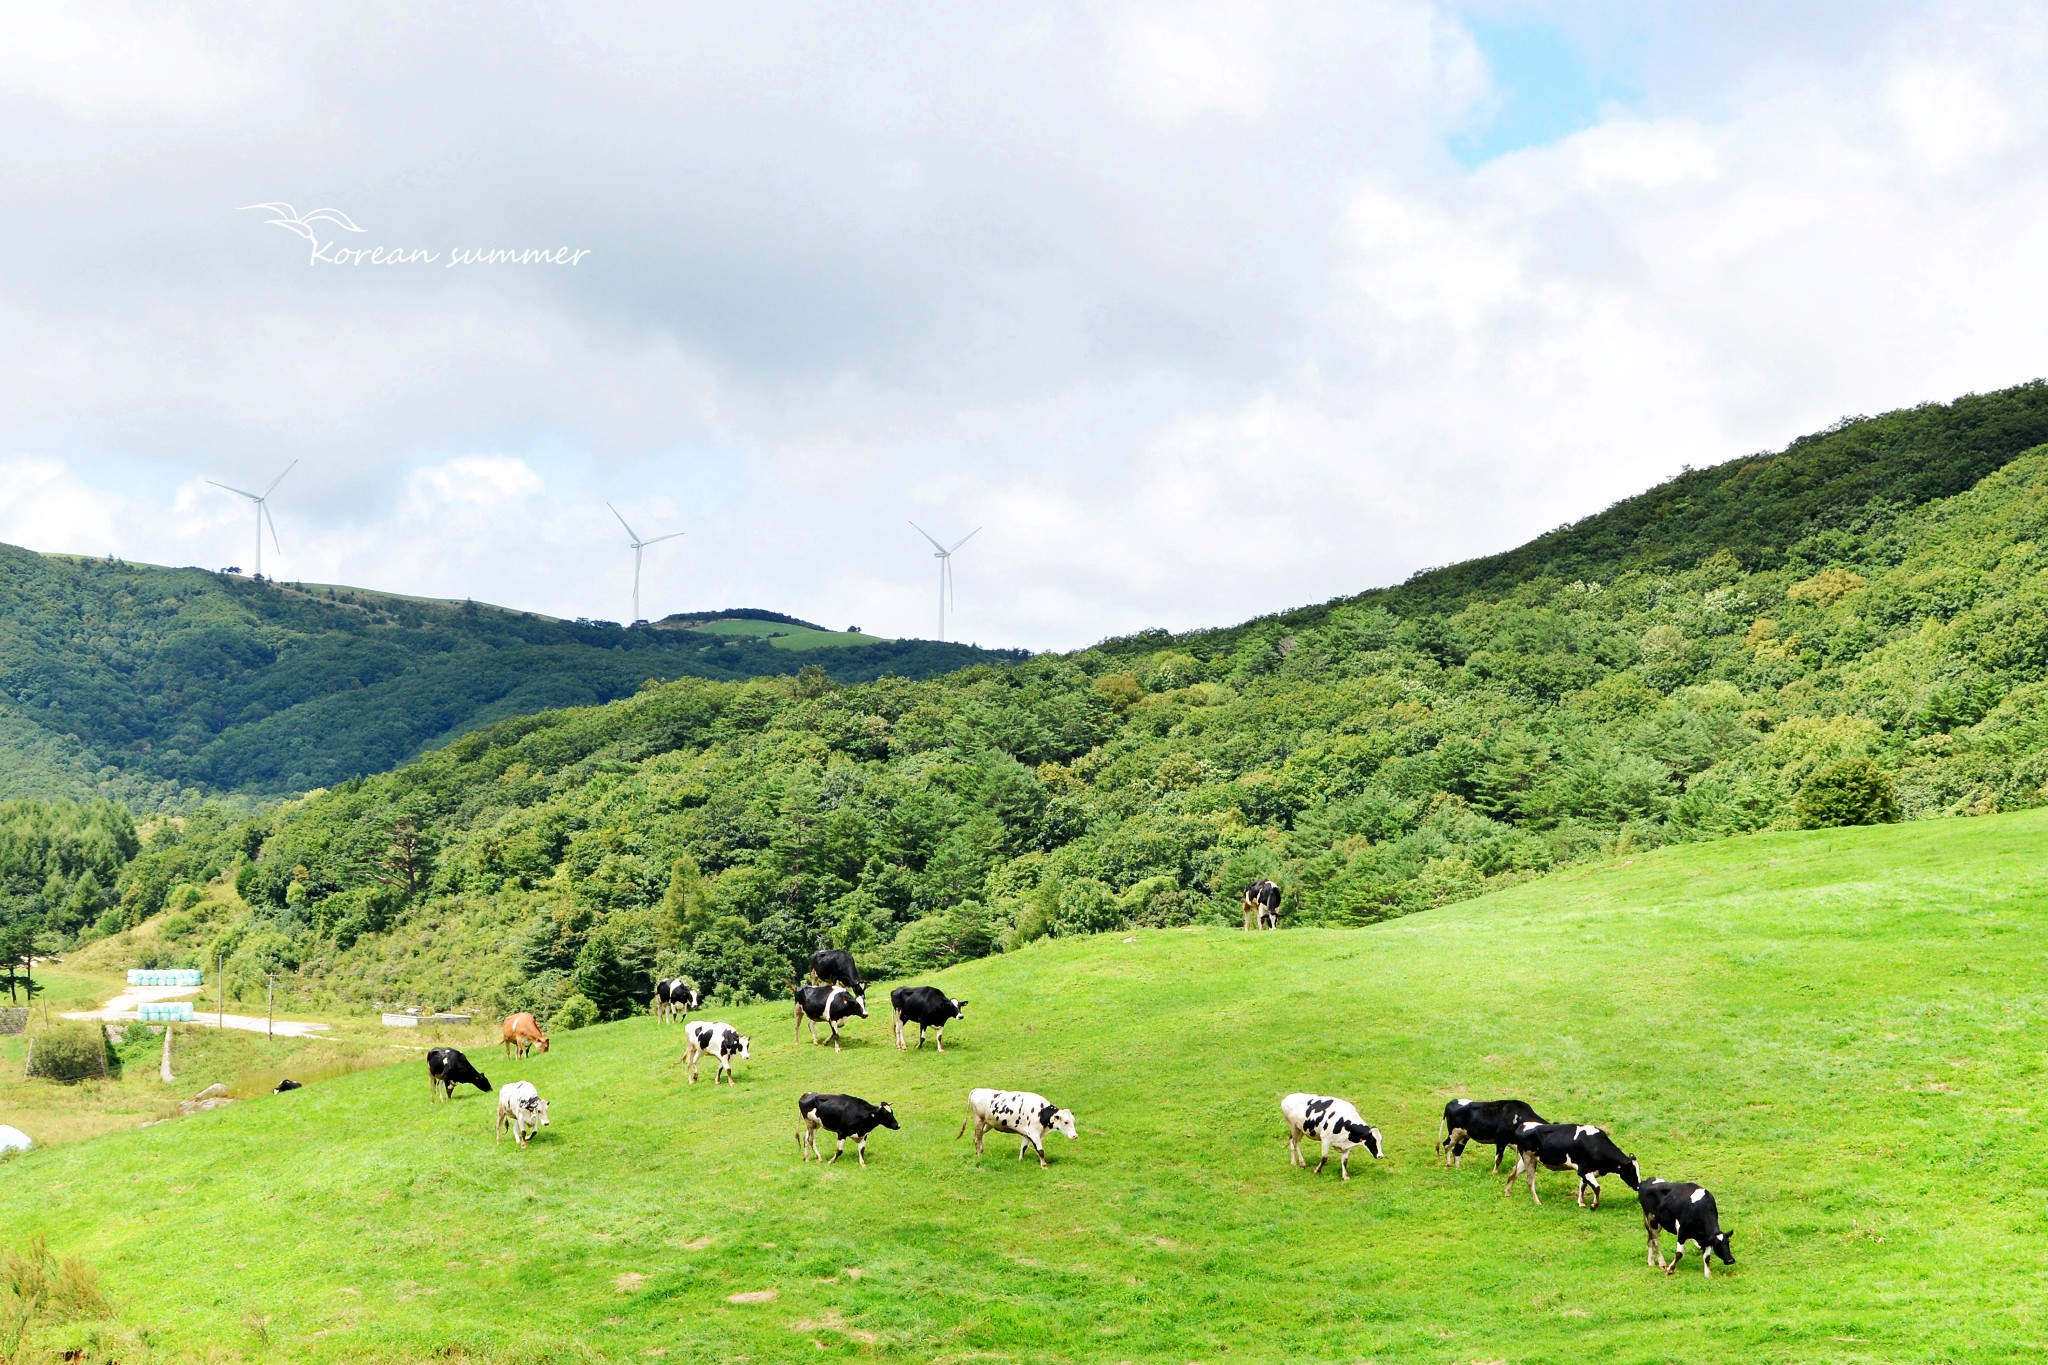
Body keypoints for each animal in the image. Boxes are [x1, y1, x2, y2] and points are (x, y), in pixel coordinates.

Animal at [1507, 1129, 1646, 1211]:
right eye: (1631, 1170)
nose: (1638, 1186)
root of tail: (1522, 1128)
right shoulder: (1584, 1169)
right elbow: (1596, 1187)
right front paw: (1593, 1205)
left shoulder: (1587, 1171)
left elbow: (1583, 1186)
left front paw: (1581, 1202)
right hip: (1529, 1158)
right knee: (1529, 1181)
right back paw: (1537, 1202)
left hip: (1527, 1159)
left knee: (1513, 1173)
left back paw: (1507, 1193)